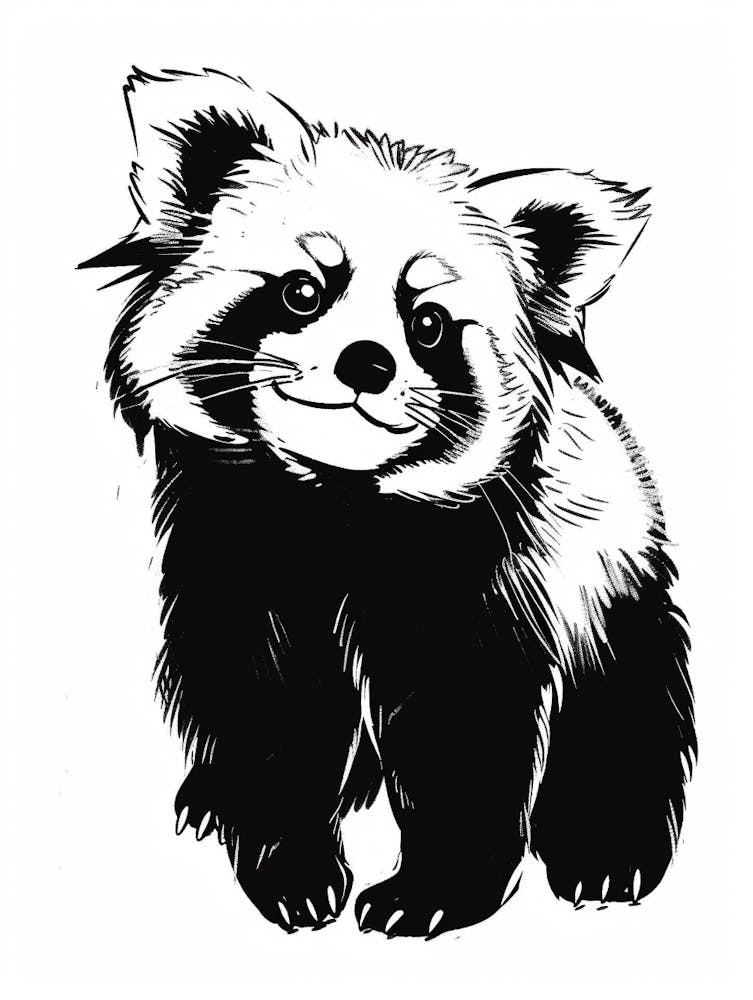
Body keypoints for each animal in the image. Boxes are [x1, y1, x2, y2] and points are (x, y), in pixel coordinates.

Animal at [81, 67, 696, 939]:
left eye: (429, 323)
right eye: (302, 290)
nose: (365, 362)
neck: (334, 507)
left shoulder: (482, 575)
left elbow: (464, 729)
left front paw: (432, 890)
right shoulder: (236, 551)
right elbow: (265, 714)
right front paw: (289, 868)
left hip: (611, 570)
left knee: (626, 700)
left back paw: (606, 852)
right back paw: (210, 797)